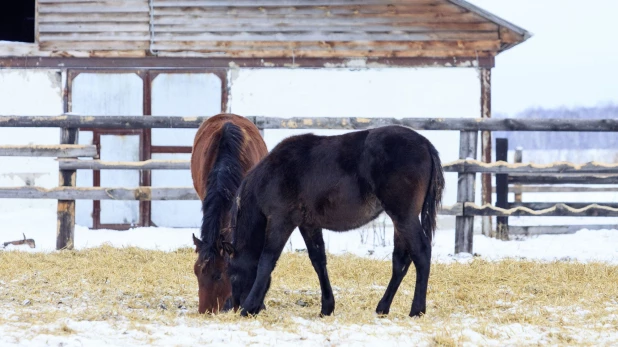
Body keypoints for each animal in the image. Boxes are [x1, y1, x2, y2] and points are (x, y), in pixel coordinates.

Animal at [226, 125, 442, 318]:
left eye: (232, 274)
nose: (233, 307)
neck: (271, 174)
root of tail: (426, 144)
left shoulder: (280, 220)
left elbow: (267, 261)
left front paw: (248, 307)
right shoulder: (308, 225)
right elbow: (318, 260)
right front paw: (327, 307)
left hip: (404, 216)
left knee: (421, 253)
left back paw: (416, 310)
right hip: (400, 220)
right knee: (400, 261)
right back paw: (383, 307)